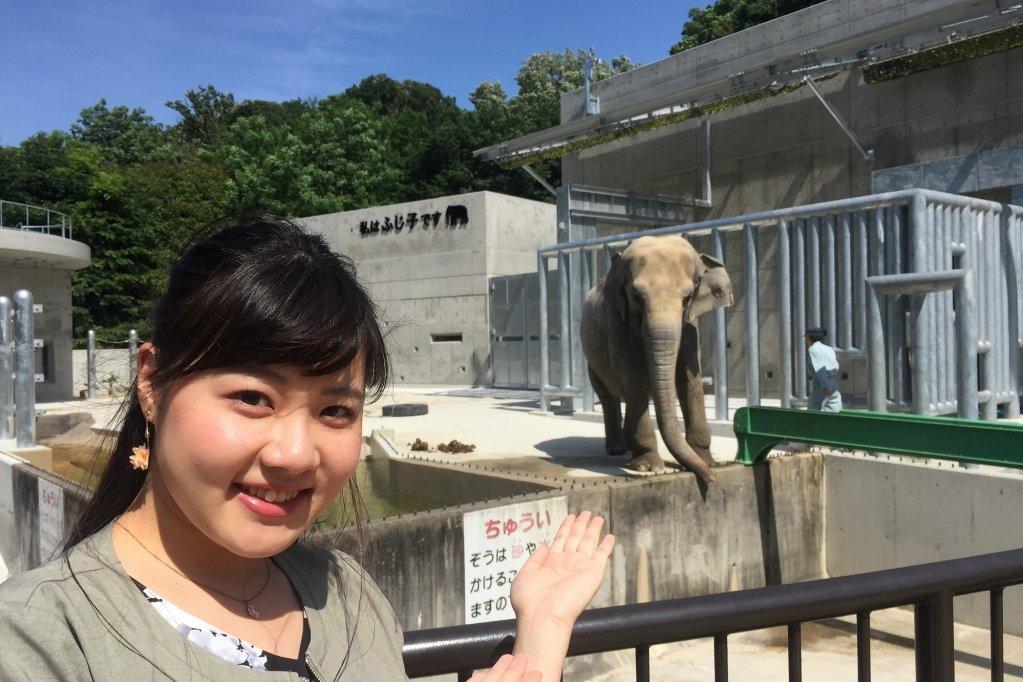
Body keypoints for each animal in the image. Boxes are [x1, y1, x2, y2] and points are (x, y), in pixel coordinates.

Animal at [581, 237, 732, 482]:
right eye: (636, 298)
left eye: (687, 299)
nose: (711, 480)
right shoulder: (617, 322)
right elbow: (633, 376)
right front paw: (650, 468)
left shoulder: (690, 324)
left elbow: (689, 376)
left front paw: (706, 461)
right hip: (591, 359)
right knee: (609, 396)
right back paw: (617, 449)